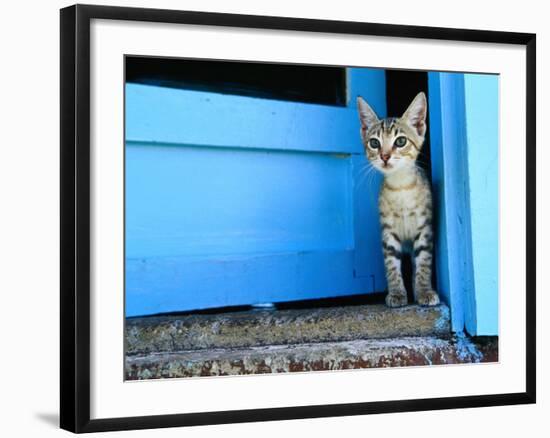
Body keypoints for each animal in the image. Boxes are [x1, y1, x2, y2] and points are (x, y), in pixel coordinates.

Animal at [358, 91, 444, 308]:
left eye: (400, 141)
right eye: (374, 143)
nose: (385, 156)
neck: (401, 187)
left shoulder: (424, 229)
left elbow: (423, 262)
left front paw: (424, 291)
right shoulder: (388, 232)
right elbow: (391, 264)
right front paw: (396, 293)